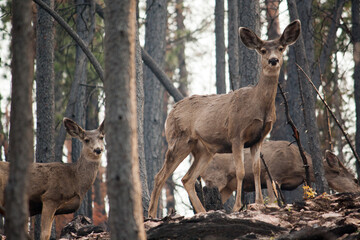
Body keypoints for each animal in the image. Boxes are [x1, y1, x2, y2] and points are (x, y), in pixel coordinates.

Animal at [148, 19, 302, 217]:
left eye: (281, 48)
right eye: (263, 50)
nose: (273, 60)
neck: (259, 106)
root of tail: (170, 112)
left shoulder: (258, 138)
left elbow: (257, 169)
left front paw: (260, 203)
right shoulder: (236, 134)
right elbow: (241, 171)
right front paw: (238, 207)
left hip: (204, 149)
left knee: (187, 178)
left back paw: (202, 211)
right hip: (178, 140)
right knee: (160, 175)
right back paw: (151, 215)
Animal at [201, 141, 360, 204]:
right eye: (355, 180)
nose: (357, 191)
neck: (297, 165)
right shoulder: (272, 174)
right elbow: (273, 201)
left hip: (228, 186)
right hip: (215, 178)